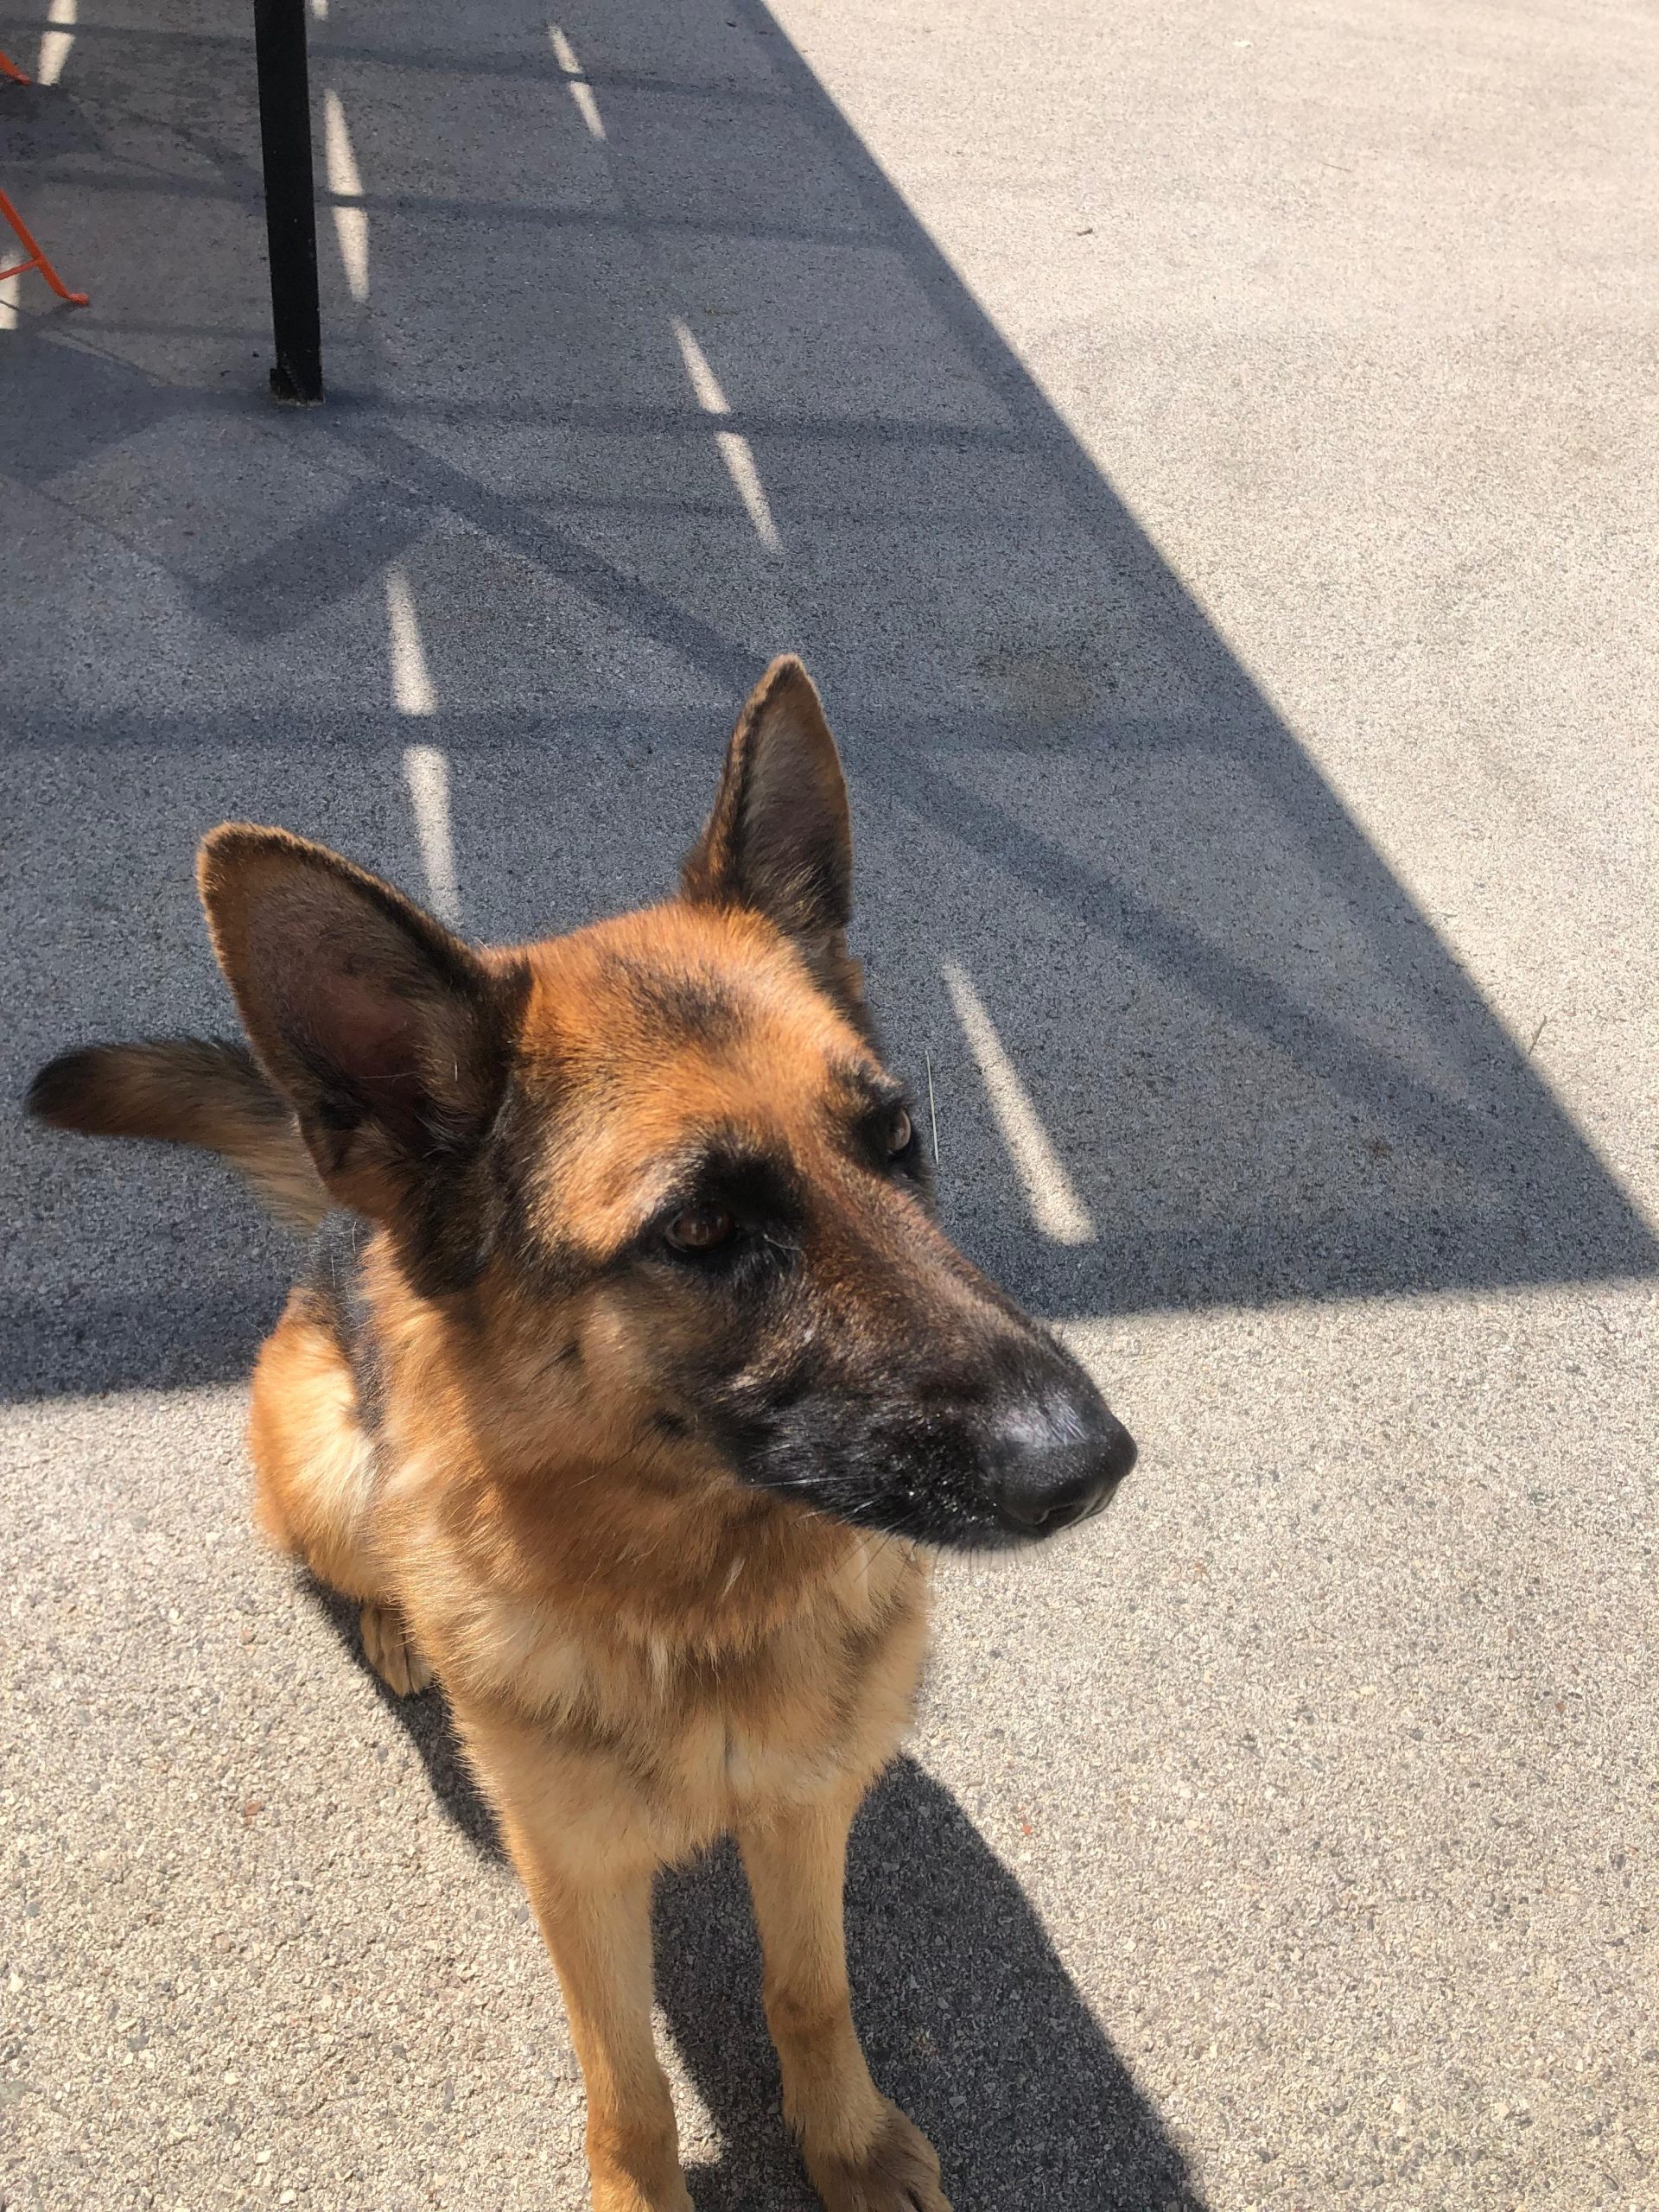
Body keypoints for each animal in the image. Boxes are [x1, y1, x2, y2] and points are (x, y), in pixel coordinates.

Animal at [29, 657, 1136, 2212]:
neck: (699, 1602)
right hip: (326, 1459)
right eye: (703, 1229)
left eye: (897, 1141)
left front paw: (846, 2146)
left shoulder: (804, 1814)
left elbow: (811, 1994)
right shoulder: (580, 1876)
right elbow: (633, 2094)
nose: (1092, 1461)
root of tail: (342, 1231)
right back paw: (394, 1623)